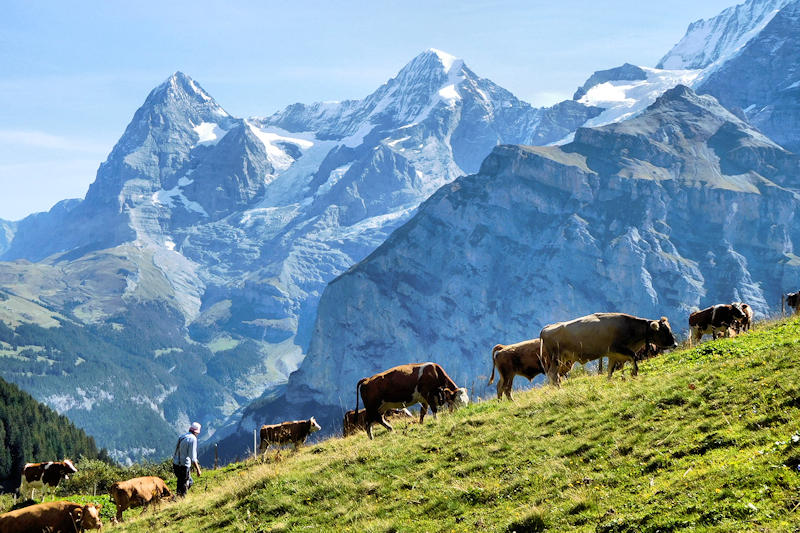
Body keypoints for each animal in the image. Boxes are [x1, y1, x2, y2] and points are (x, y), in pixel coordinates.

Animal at [540, 312, 680, 386]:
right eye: (664, 330)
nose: (675, 344)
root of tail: (546, 328)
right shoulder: (619, 348)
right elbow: (633, 358)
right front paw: (634, 373)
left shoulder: (613, 354)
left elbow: (610, 370)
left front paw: (610, 381)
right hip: (556, 358)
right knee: (553, 374)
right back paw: (558, 387)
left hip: (563, 360)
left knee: (555, 375)